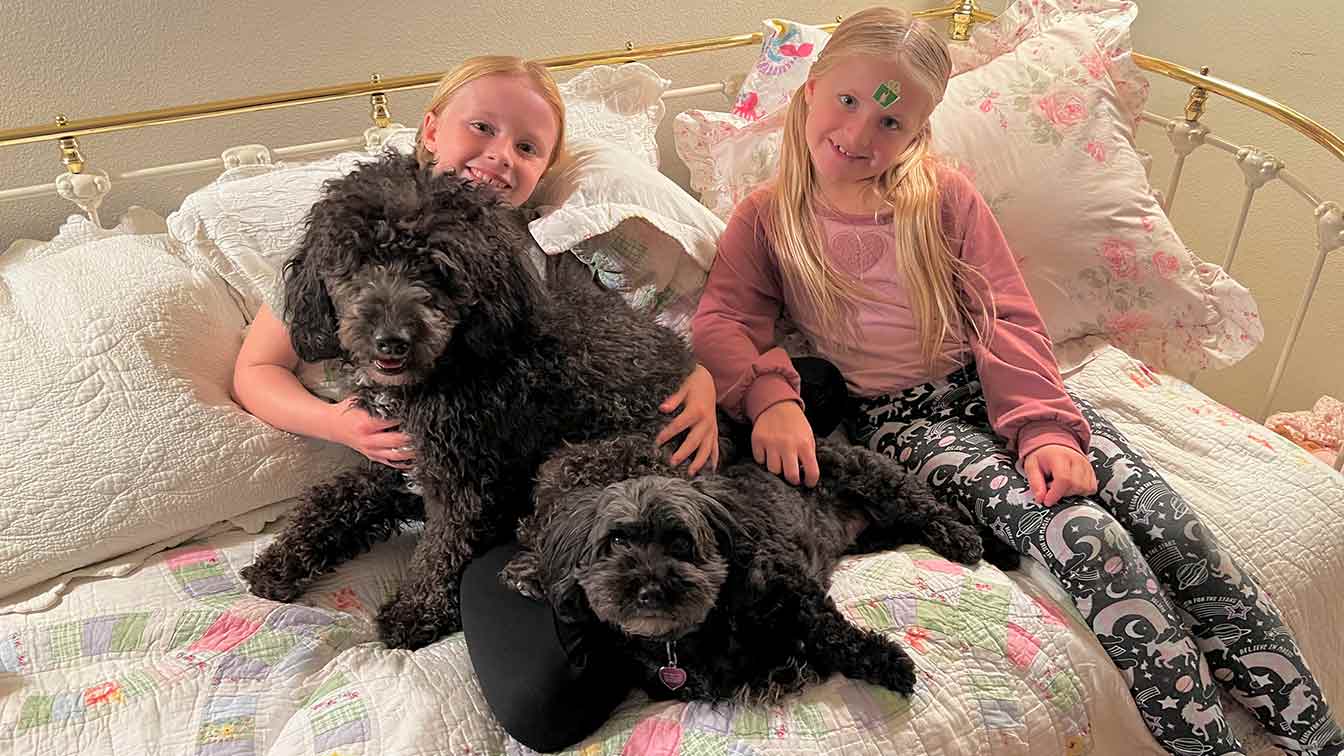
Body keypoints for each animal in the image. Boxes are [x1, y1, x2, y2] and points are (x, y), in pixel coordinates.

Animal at [237, 153, 698, 648]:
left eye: (435, 270)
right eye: (358, 262)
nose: (390, 341)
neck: (449, 366)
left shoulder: (460, 484)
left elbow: (441, 548)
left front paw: (415, 611)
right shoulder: (393, 462)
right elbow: (332, 499)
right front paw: (279, 562)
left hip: (586, 460)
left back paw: (532, 570)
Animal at [505, 433, 1016, 704]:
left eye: (681, 541)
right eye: (616, 541)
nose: (648, 591)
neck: (688, 636)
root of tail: (831, 439)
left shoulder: (792, 586)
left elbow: (829, 631)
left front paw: (887, 663)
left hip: (881, 484)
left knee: (932, 508)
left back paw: (969, 540)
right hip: (880, 529)